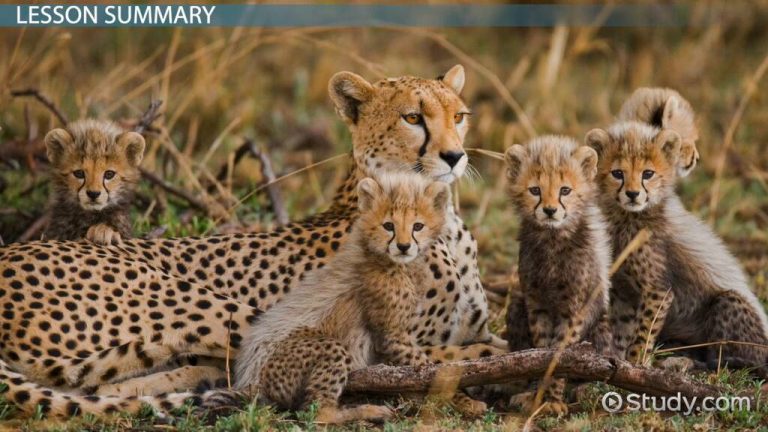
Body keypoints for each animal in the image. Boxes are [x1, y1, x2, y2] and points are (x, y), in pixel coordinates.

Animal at [235, 173, 488, 424]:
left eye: (418, 226)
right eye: (388, 226)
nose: (403, 246)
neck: (383, 258)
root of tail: (250, 380)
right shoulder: (393, 337)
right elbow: (429, 369)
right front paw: (465, 401)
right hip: (325, 349)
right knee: (317, 412)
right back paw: (367, 411)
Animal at [503, 136, 612, 416]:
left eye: (565, 190)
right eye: (535, 190)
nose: (550, 211)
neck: (552, 240)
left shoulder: (573, 310)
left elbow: (561, 354)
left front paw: (552, 399)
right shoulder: (536, 303)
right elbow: (541, 351)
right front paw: (538, 396)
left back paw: (586, 389)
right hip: (516, 305)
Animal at [586, 121, 768, 376]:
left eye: (648, 174)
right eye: (617, 173)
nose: (633, 194)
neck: (627, 218)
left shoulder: (658, 290)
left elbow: (642, 333)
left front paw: (635, 365)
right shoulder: (623, 291)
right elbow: (622, 330)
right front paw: (617, 360)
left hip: (728, 304)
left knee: (732, 362)